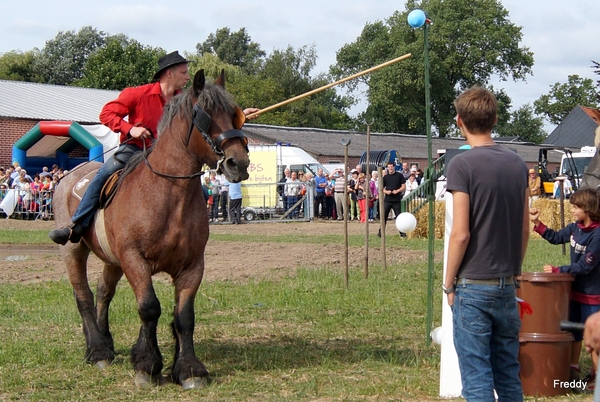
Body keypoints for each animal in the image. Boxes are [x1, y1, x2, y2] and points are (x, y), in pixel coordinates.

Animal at [51, 70, 248, 390]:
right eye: (204, 115)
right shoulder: (135, 260)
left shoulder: (192, 265)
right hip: (73, 250)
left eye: (235, 115)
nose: (238, 163)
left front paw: (188, 368)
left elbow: (184, 316)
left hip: (112, 260)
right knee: (83, 296)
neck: (167, 193)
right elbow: (149, 308)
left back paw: (105, 342)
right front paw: (147, 365)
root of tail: (68, 178)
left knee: (103, 292)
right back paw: (98, 350)